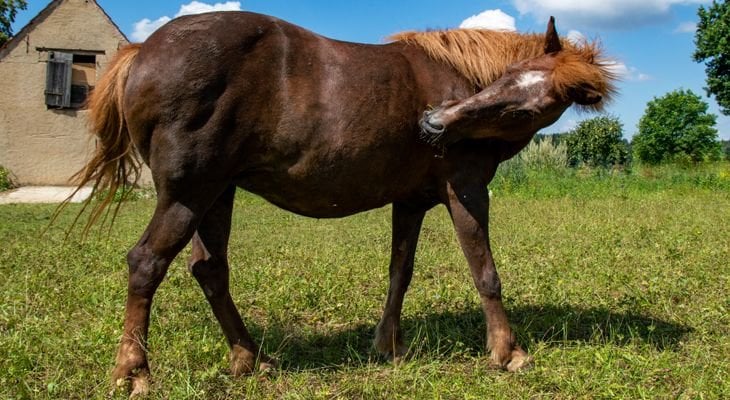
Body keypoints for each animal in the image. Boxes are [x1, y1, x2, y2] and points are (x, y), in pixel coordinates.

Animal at [71, 10, 612, 396]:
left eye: (527, 101)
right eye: (509, 79)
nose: (433, 122)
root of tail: (142, 50)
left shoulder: (411, 202)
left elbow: (400, 271)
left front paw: (388, 344)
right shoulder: (466, 189)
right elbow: (485, 272)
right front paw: (507, 352)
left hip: (217, 193)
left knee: (210, 270)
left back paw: (251, 359)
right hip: (188, 194)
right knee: (147, 262)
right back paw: (134, 372)